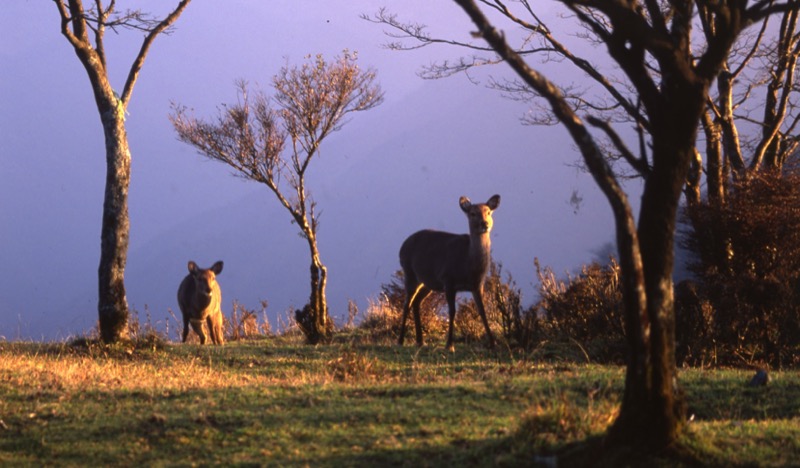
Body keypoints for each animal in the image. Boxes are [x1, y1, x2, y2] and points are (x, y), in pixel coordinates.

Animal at [398, 192, 500, 350]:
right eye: (472, 213)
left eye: (488, 212)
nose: (485, 224)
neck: (468, 266)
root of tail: (401, 248)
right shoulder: (448, 280)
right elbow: (452, 312)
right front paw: (449, 344)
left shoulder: (478, 285)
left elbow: (483, 311)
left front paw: (493, 343)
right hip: (410, 273)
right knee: (406, 303)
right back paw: (401, 340)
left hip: (428, 282)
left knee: (416, 303)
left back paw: (420, 340)